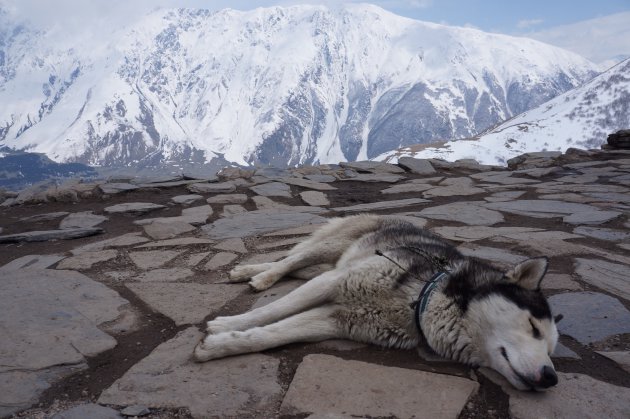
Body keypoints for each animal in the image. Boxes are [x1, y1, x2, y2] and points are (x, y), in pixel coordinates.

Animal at [194, 215, 564, 392]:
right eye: (532, 327)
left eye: (551, 349)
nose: (551, 377)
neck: (420, 299)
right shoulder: (334, 284)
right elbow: (271, 311)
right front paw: (225, 325)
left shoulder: (335, 319)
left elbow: (272, 334)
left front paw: (220, 345)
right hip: (331, 250)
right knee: (290, 259)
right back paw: (258, 276)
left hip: (327, 264)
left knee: (296, 266)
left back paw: (251, 271)